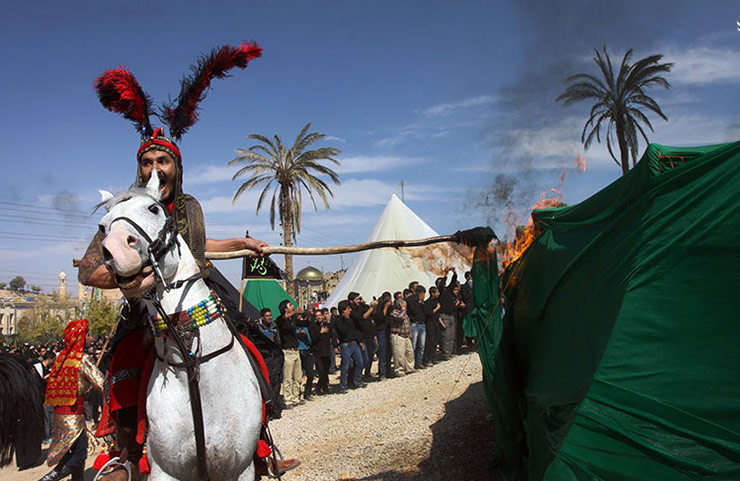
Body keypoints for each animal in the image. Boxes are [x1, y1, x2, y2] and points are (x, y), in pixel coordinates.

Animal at [97, 171, 262, 478]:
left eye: (153, 208)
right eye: (102, 226)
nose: (117, 251)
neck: (191, 363)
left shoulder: (240, 468)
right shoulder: (166, 471)